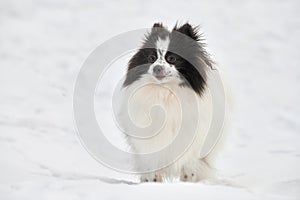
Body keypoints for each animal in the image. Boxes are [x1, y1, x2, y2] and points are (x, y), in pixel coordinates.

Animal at [119, 22, 227, 183]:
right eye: (151, 57)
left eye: (172, 58)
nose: (157, 67)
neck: (166, 92)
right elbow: (150, 165)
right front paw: (152, 182)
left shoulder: (194, 139)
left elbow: (189, 166)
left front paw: (188, 180)